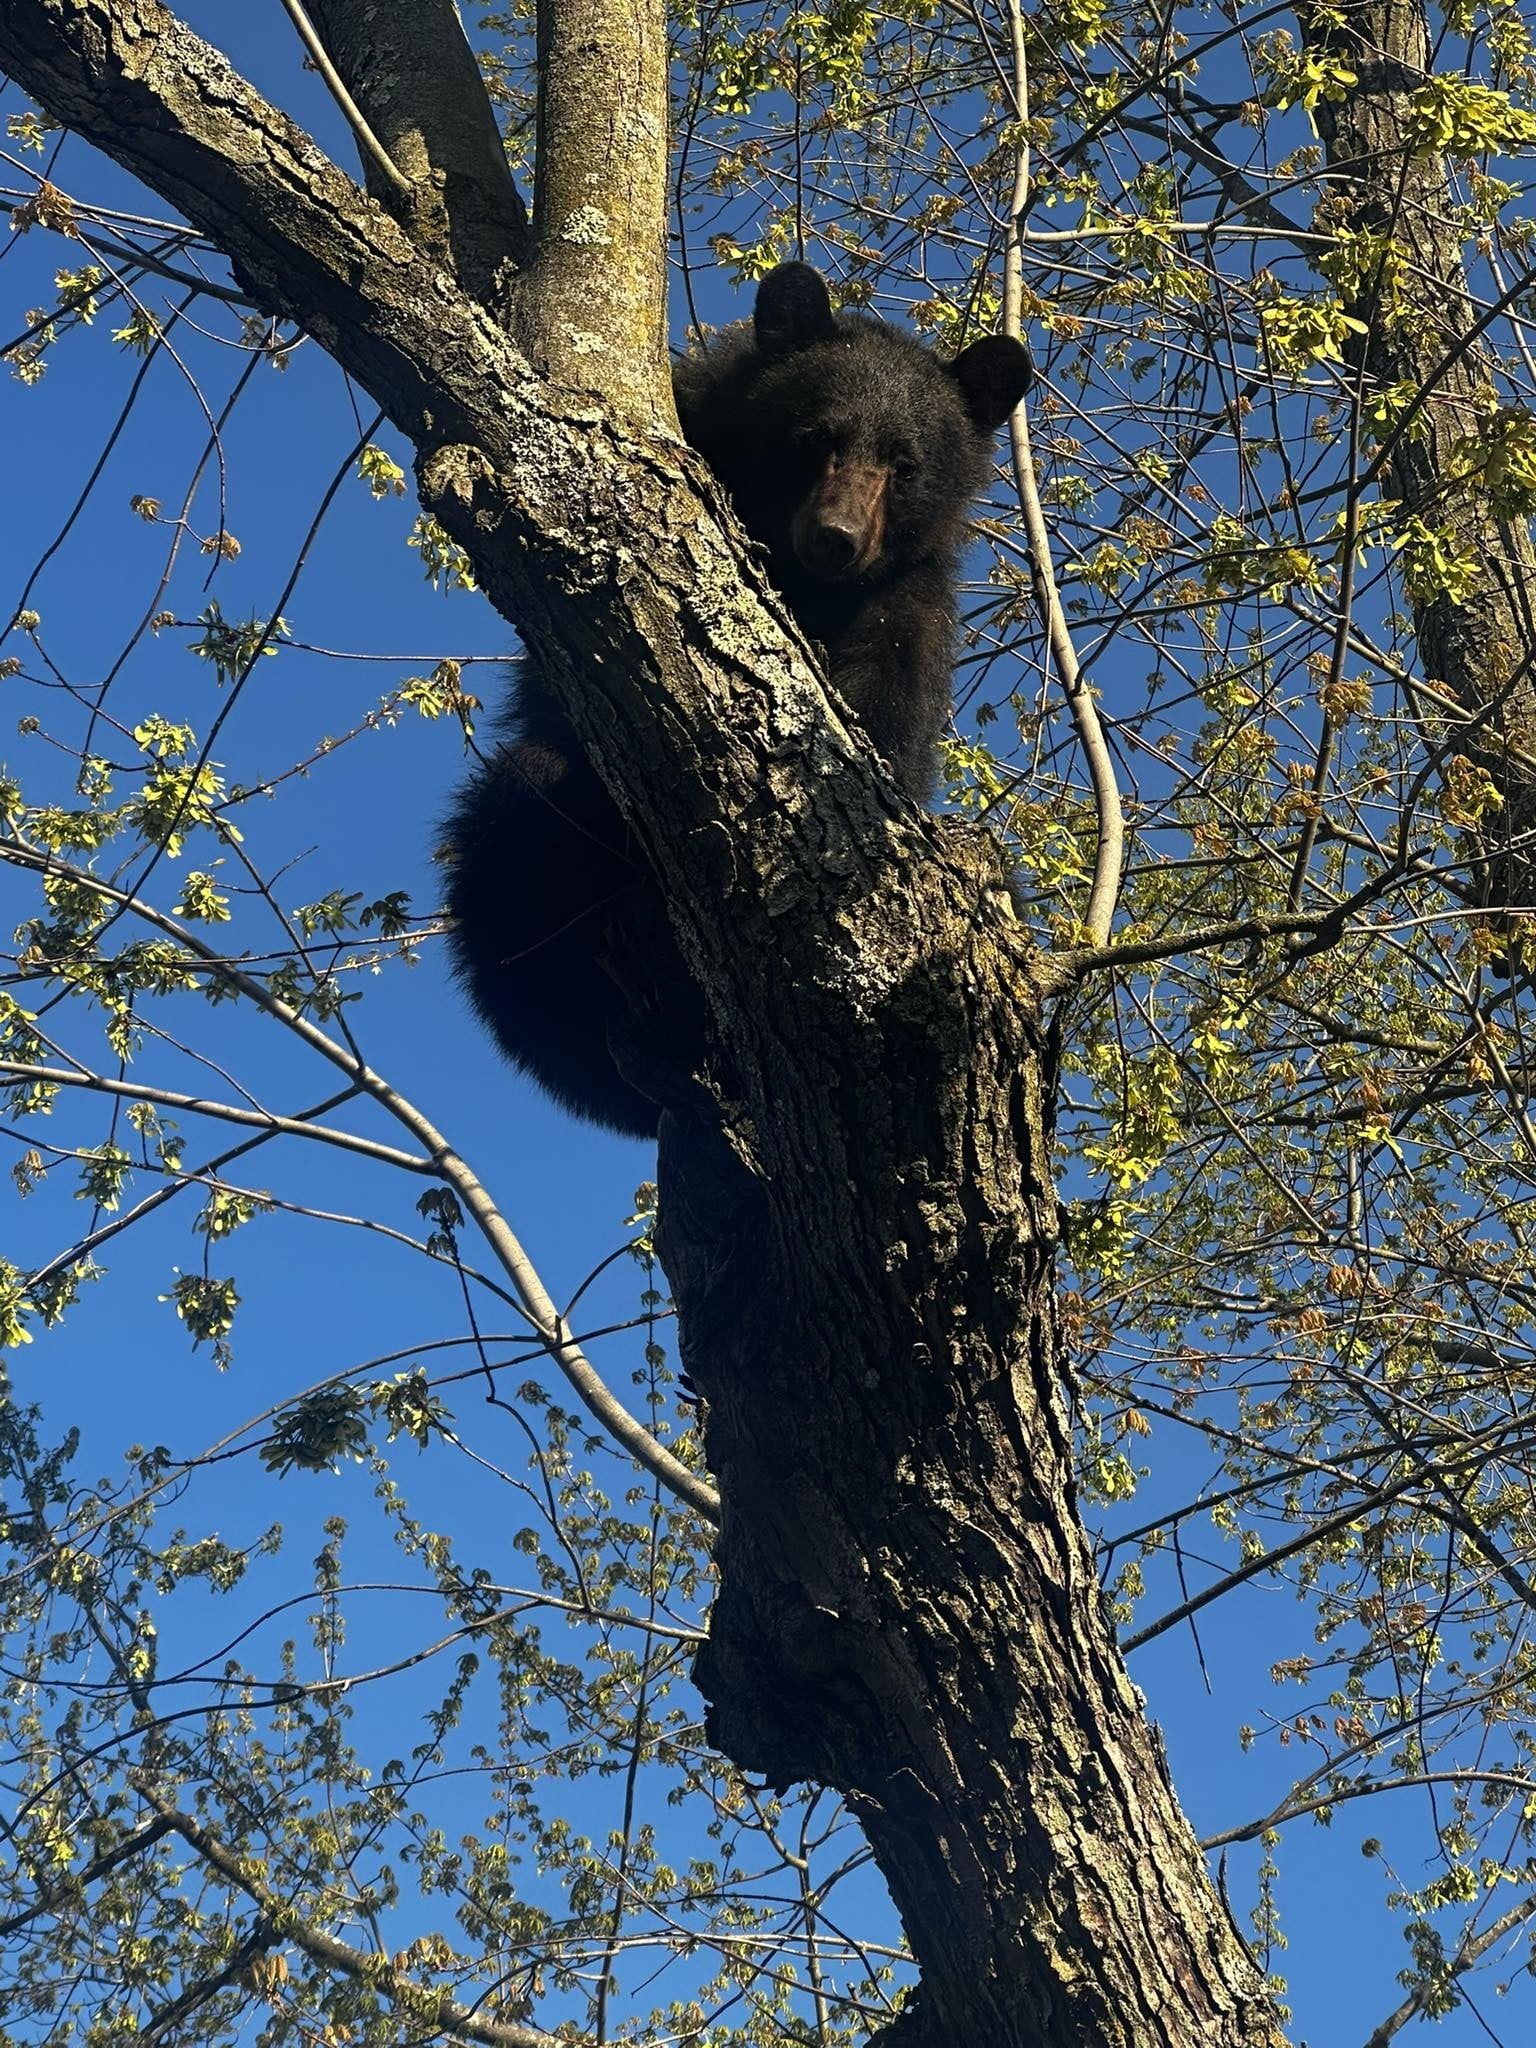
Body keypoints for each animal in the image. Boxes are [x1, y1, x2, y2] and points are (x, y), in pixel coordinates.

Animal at [441, 262, 1033, 1138]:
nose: (835, 537)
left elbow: (885, 727)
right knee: (517, 824)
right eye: (816, 437)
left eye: (904, 462)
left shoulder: (908, 611)